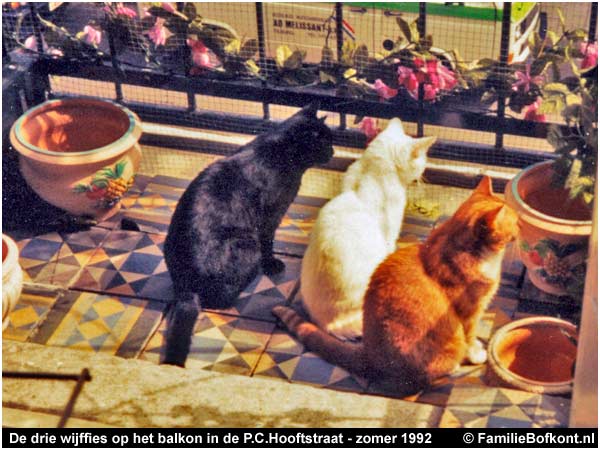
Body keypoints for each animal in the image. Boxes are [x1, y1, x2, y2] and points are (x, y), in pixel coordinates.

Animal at [162, 103, 336, 366]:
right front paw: (272, 264)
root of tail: (187, 284)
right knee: (223, 298)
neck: (278, 150)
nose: (334, 151)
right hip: (247, 244)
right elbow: (269, 241)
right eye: (324, 142)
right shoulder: (272, 215)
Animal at [274, 177, 516, 394]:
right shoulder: (471, 312)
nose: (520, 224)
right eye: (513, 222)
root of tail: (370, 354)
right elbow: (470, 338)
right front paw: (476, 353)